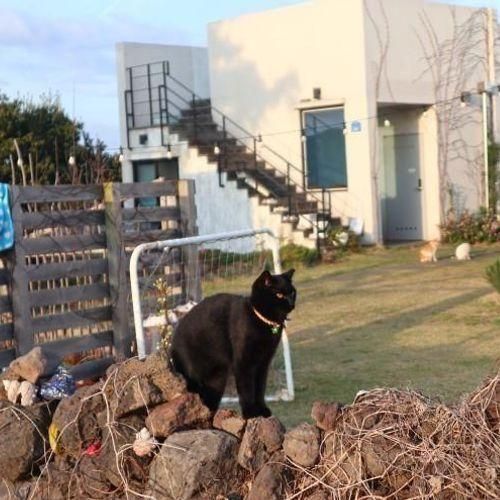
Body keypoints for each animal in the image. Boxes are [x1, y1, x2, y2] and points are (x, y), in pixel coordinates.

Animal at [172, 270, 296, 418]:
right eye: (279, 295)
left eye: (292, 293)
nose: (291, 303)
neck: (264, 321)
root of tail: (172, 341)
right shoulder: (244, 363)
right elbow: (247, 390)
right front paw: (250, 413)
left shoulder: (263, 364)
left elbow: (260, 389)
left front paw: (262, 410)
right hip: (195, 377)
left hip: (216, 381)